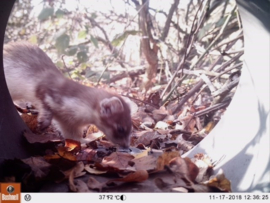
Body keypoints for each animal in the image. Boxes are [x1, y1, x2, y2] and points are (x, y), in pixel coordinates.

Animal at [2, 42, 132, 148]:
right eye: (121, 128)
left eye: (131, 129)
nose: (126, 145)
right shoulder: (46, 88)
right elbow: (43, 102)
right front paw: (43, 122)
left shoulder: (69, 124)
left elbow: (73, 137)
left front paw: (85, 142)